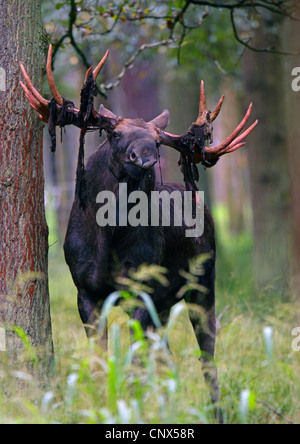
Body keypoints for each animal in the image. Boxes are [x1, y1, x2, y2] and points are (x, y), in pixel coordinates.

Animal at [19, 46, 256, 424]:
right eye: (115, 134)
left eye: (157, 141)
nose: (143, 157)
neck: (107, 242)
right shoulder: (85, 289)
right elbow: (101, 362)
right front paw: (102, 403)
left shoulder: (141, 290)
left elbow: (133, 364)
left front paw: (131, 407)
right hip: (166, 301)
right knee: (167, 355)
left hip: (203, 282)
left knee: (206, 354)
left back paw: (215, 412)